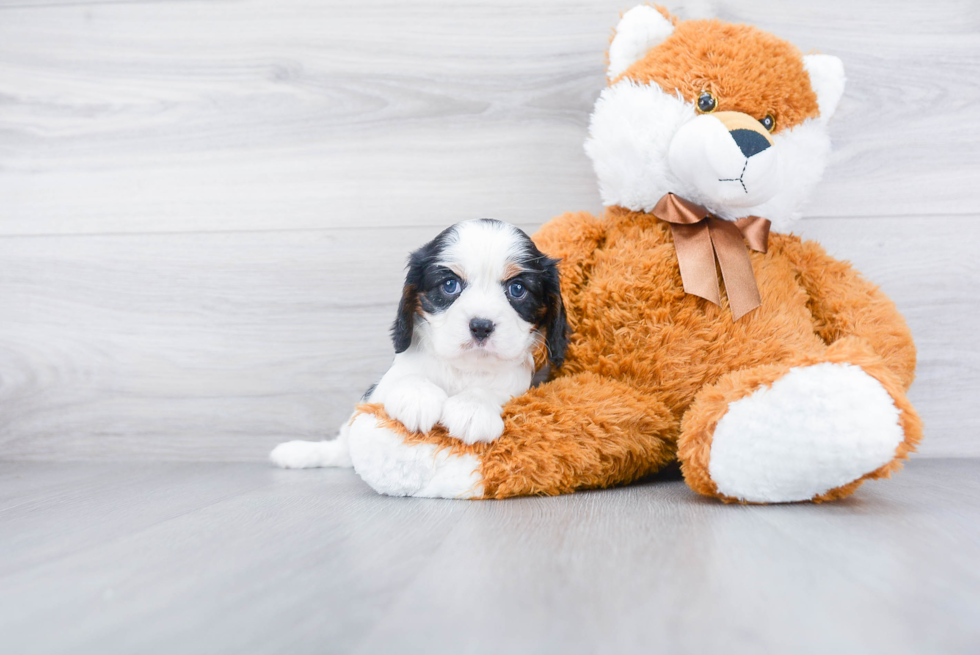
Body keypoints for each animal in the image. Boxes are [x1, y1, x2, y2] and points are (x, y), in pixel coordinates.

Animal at [268, 220, 568, 472]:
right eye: (450, 285)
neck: (463, 368)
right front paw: (417, 397)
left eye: (517, 289)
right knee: (342, 446)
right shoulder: (378, 393)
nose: (481, 325)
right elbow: (407, 378)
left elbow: (493, 391)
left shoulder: (516, 387)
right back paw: (296, 453)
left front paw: (473, 407)